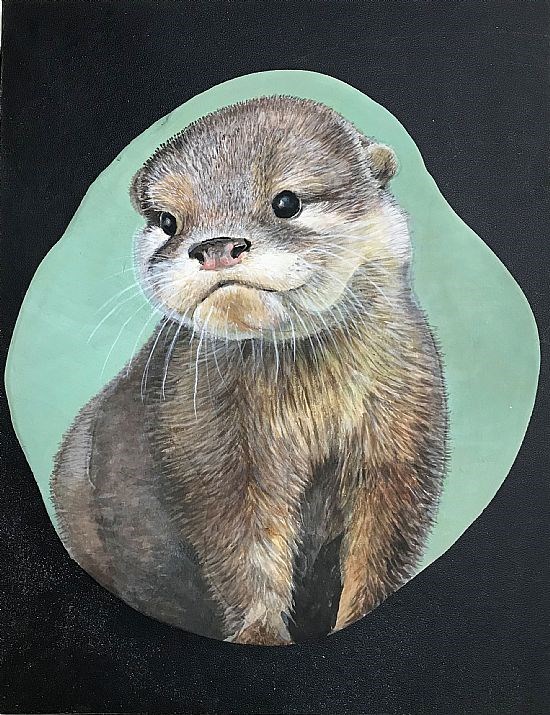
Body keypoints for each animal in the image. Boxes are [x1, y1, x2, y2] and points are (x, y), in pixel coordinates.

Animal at [51, 96, 447, 645]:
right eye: (168, 220)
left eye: (286, 202)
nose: (216, 246)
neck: (309, 411)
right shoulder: (209, 450)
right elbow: (244, 553)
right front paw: (261, 634)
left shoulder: (403, 439)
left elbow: (381, 551)